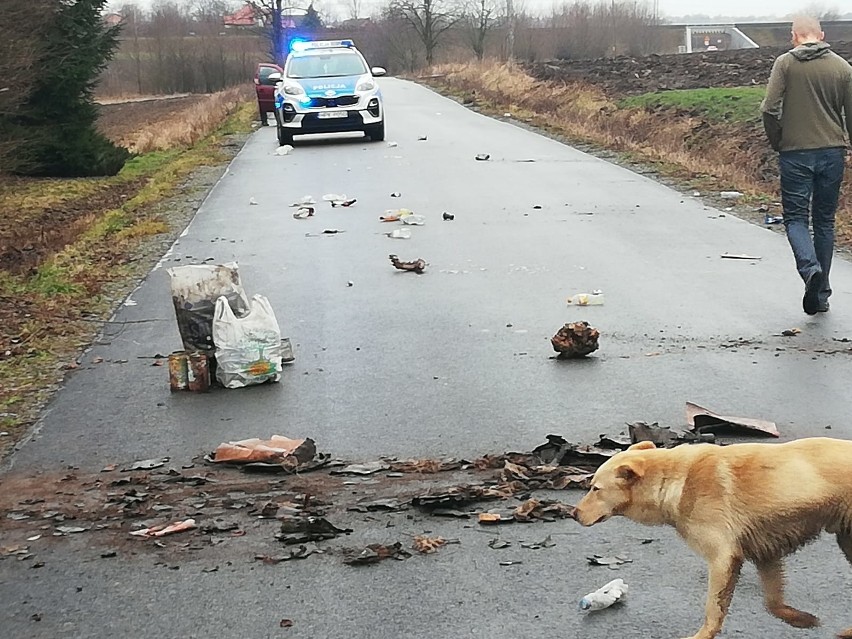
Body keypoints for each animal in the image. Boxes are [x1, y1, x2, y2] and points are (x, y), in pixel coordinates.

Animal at [568, 438, 852, 639]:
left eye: (595, 488)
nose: (573, 514)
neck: (674, 479)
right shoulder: (764, 551)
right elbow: (772, 601)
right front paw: (798, 618)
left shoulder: (723, 557)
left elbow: (713, 609)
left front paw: (702, 635)